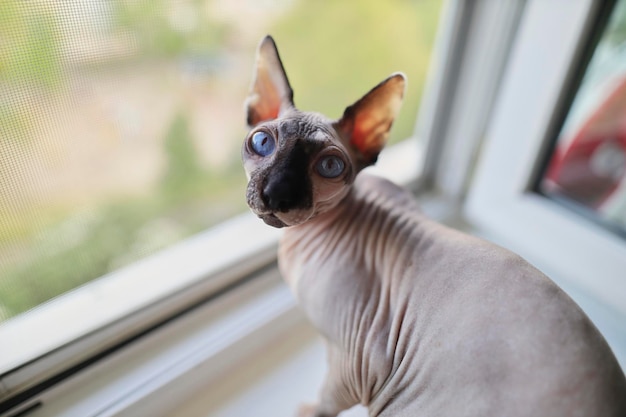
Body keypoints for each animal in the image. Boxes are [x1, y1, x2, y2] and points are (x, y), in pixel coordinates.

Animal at [240, 35, 624, 416]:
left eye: (330, 166)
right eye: (261, 141)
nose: (277, 193)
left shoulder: (357, 363)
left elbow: (322, 403)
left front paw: (306, 410)